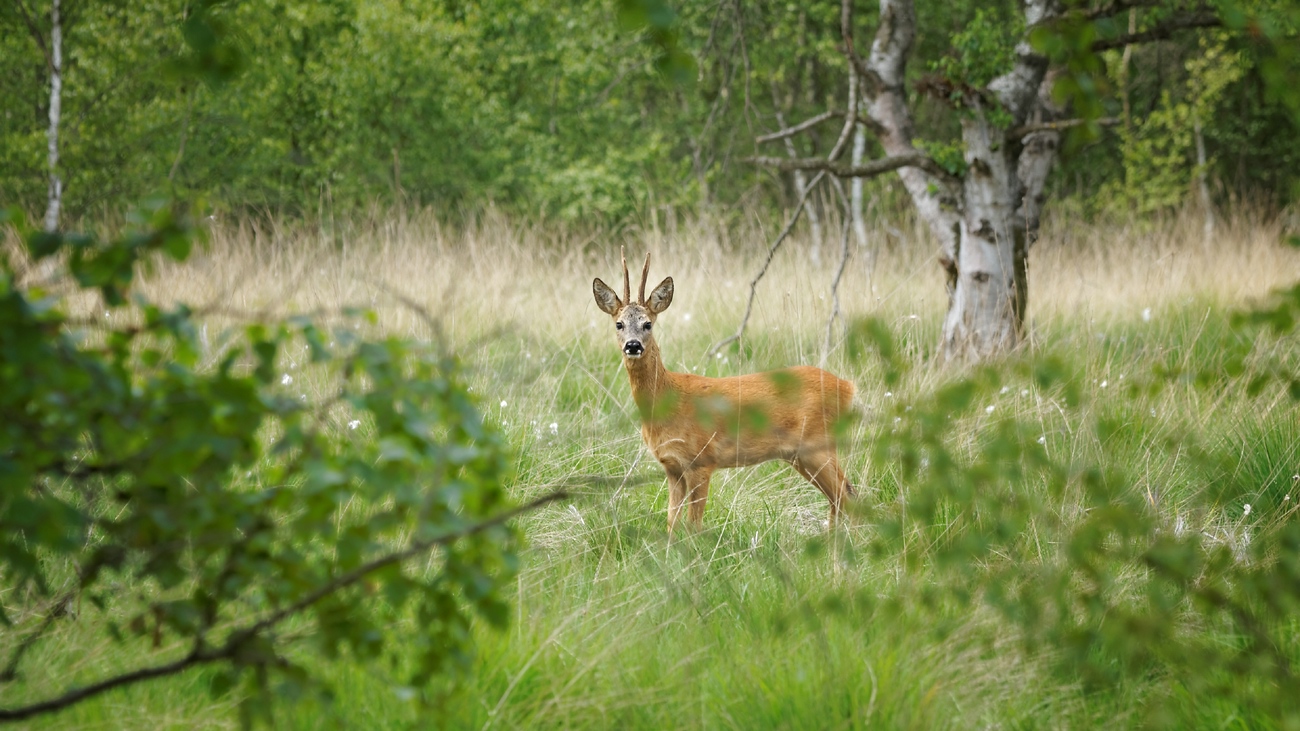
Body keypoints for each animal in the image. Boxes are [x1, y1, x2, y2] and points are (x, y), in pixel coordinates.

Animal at [595, 249, 857, 528]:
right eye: (619, 324)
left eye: (648, 324)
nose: (633, 345)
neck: (667, 401)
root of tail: (848, 387)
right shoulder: (672, 467)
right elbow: (671, 523)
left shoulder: (702, 460)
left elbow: (693, 526)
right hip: (801, 455)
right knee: (840, 497)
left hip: (819, 444)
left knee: (847, 494)